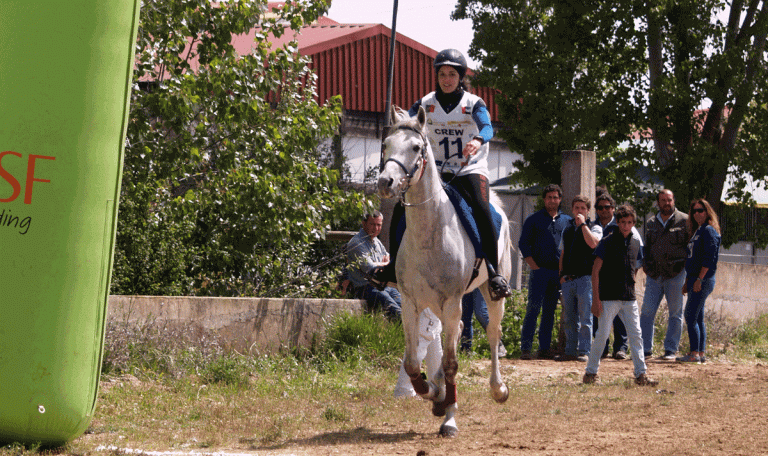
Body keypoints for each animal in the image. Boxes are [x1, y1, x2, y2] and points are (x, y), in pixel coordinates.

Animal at [378, 105, 510, 436]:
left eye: (416, 147)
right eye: (386, 144)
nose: (385, 182)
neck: (430, 233)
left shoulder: (452, 301)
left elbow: (451, 364)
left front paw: (449, 417)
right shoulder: (411, 303)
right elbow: (413, 364)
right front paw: (433, 394)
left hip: (488, 293)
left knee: (493, 333)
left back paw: (498, 389)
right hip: (438, 305)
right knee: (457, 330)